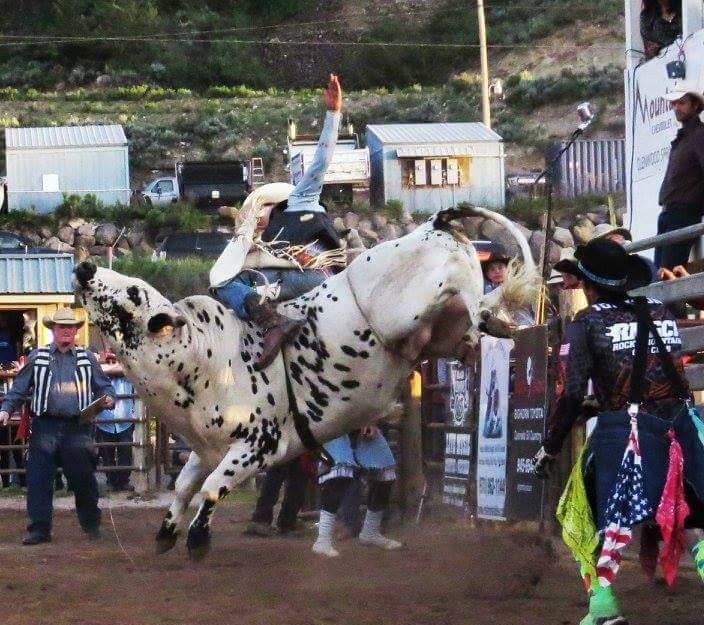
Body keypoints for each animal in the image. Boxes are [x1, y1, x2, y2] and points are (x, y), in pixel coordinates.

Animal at [74, 204, 540, 556]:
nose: (85, 267)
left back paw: (497, 317)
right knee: (459, 333)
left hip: (430, 291)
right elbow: (186, 486)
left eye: (131, 294)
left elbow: (210, 488)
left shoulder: (256, 447)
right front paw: (167, 531)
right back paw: (481, 337)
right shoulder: (205, 449)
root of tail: (433, 223)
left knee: (475, 297)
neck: (203, 357)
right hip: (435, 331)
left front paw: (198, 539)